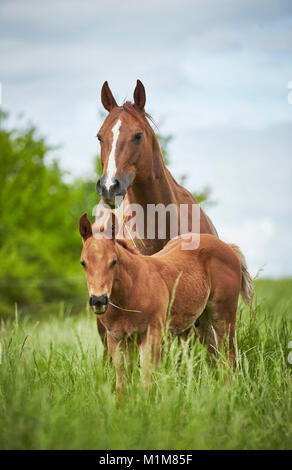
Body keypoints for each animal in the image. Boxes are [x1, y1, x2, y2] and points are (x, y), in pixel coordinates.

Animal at [79, 215, 253, 394]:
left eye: (113, 262)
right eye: (83, 263)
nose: (98, 300)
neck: (131, 292)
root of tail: (227, 246)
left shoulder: (151, 336)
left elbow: (147, 382)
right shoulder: (116, 339)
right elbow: (122, 385)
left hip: (224, 315)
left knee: (229, 356)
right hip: (203, 321)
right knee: (215, 356)